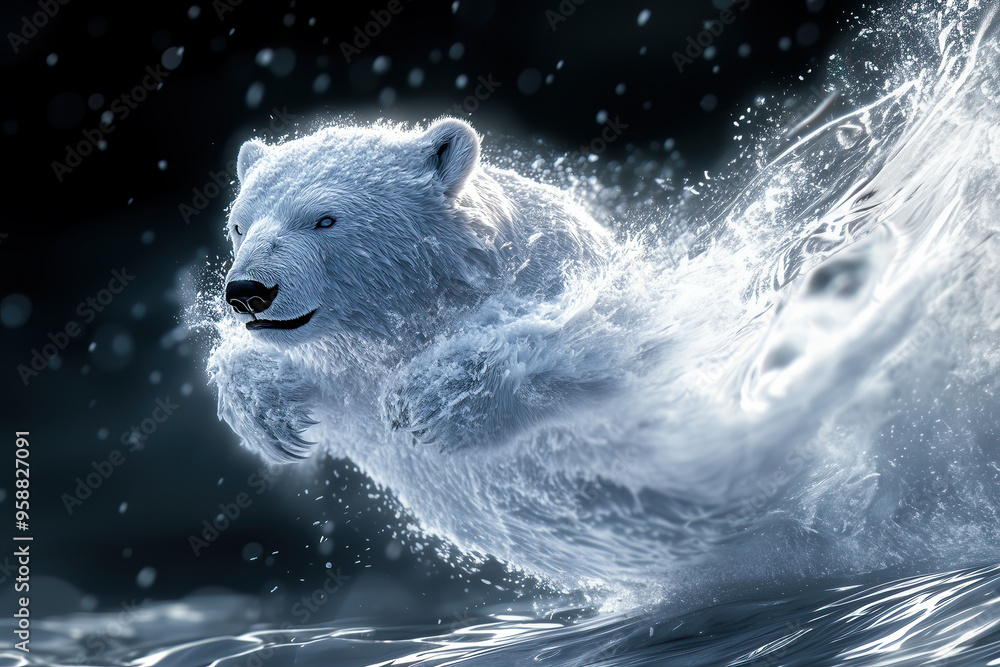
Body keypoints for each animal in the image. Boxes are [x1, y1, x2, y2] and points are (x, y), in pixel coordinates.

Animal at [208, 117, 618, 464]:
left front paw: (433, 400)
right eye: (239, 226)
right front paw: (267, 412)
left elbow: (592, 339)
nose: (248, 292)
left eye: (325, 220)